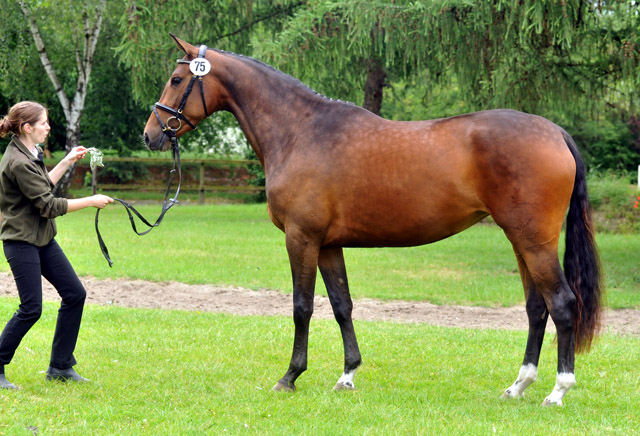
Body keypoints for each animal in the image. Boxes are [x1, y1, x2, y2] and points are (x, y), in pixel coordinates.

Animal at [142, 35, 604, 408]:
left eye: (177, 80)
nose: (151, 134)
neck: (300, 132)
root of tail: (555, 132)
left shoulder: (301, 238)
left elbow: (302, 307)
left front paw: (290, 377)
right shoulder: (328, 244)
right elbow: (342, 306)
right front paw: (347, 375)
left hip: (534, 241)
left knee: (562, 304)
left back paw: (557, 391)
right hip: (521, 240)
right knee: (536, 309)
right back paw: (518, 386)